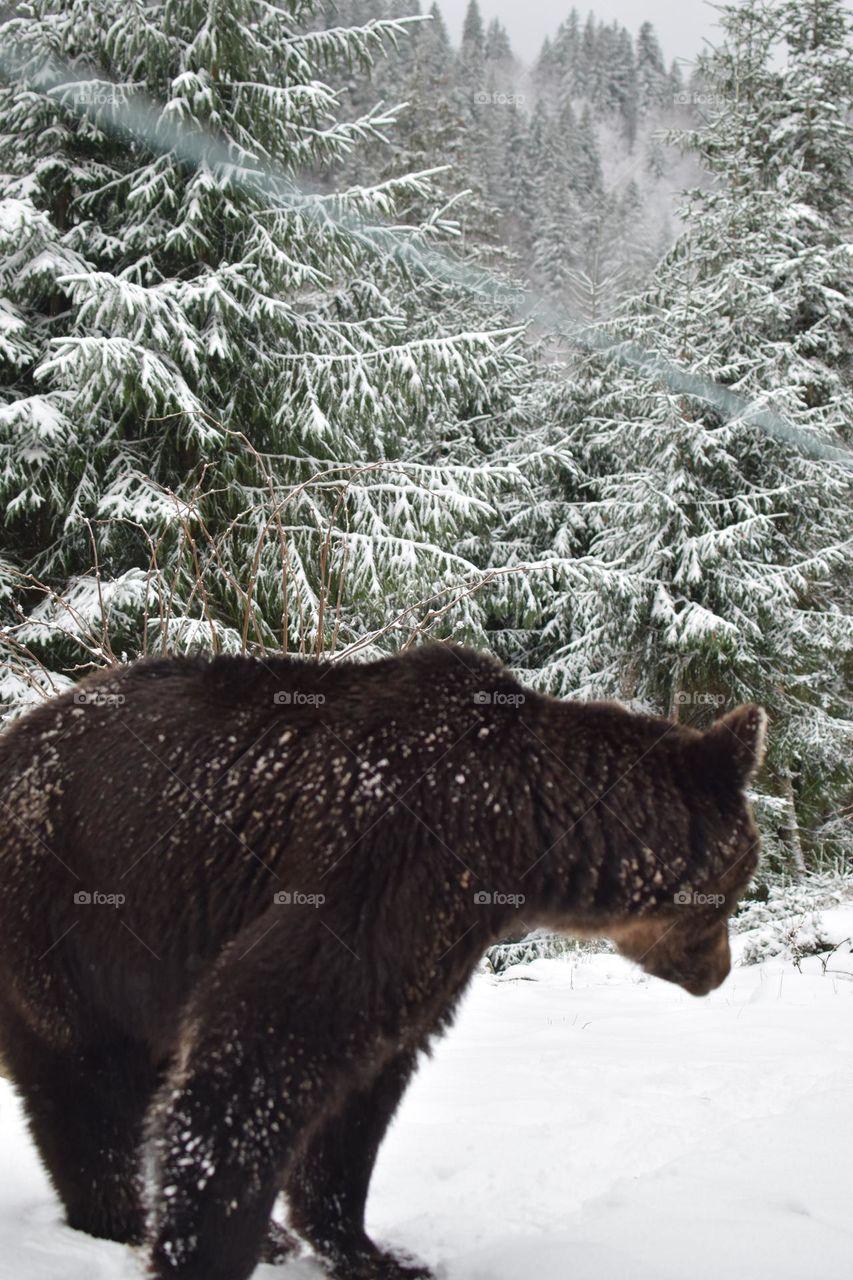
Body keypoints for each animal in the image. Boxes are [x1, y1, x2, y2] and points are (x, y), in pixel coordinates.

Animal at [0, 643, 766, 1280]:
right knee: (85, 1076)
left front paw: (369, 1250)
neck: (512, 829)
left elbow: (365, 1087)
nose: (720, 971)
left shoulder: (433, 935)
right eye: (742, 877)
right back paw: (121, 1217)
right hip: (65, 911)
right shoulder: (385, 858)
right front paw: (209, 1251)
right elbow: (268, 1036)